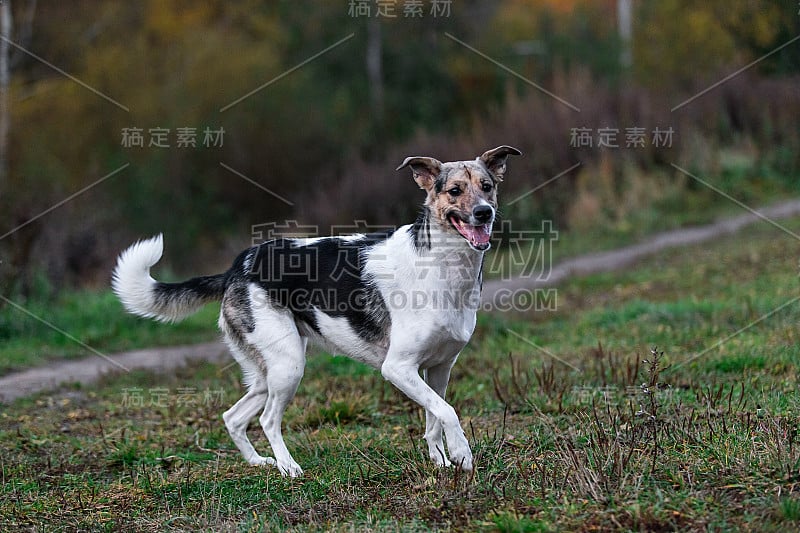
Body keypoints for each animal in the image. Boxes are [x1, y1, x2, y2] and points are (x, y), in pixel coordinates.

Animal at [114, 144, 524, 474]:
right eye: (455, 191)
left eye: (487, 186)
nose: (484, 213)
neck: (444, 267)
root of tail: (238, 266)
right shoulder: (398, 368)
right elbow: (447, 412)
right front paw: (462, 454)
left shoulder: (438, 369)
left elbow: (435, 417)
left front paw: (441, 460)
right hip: (289, 367)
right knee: (267, 420)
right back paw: (289, 468)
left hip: (267, 373)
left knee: (233, 417)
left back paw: (260, 463)